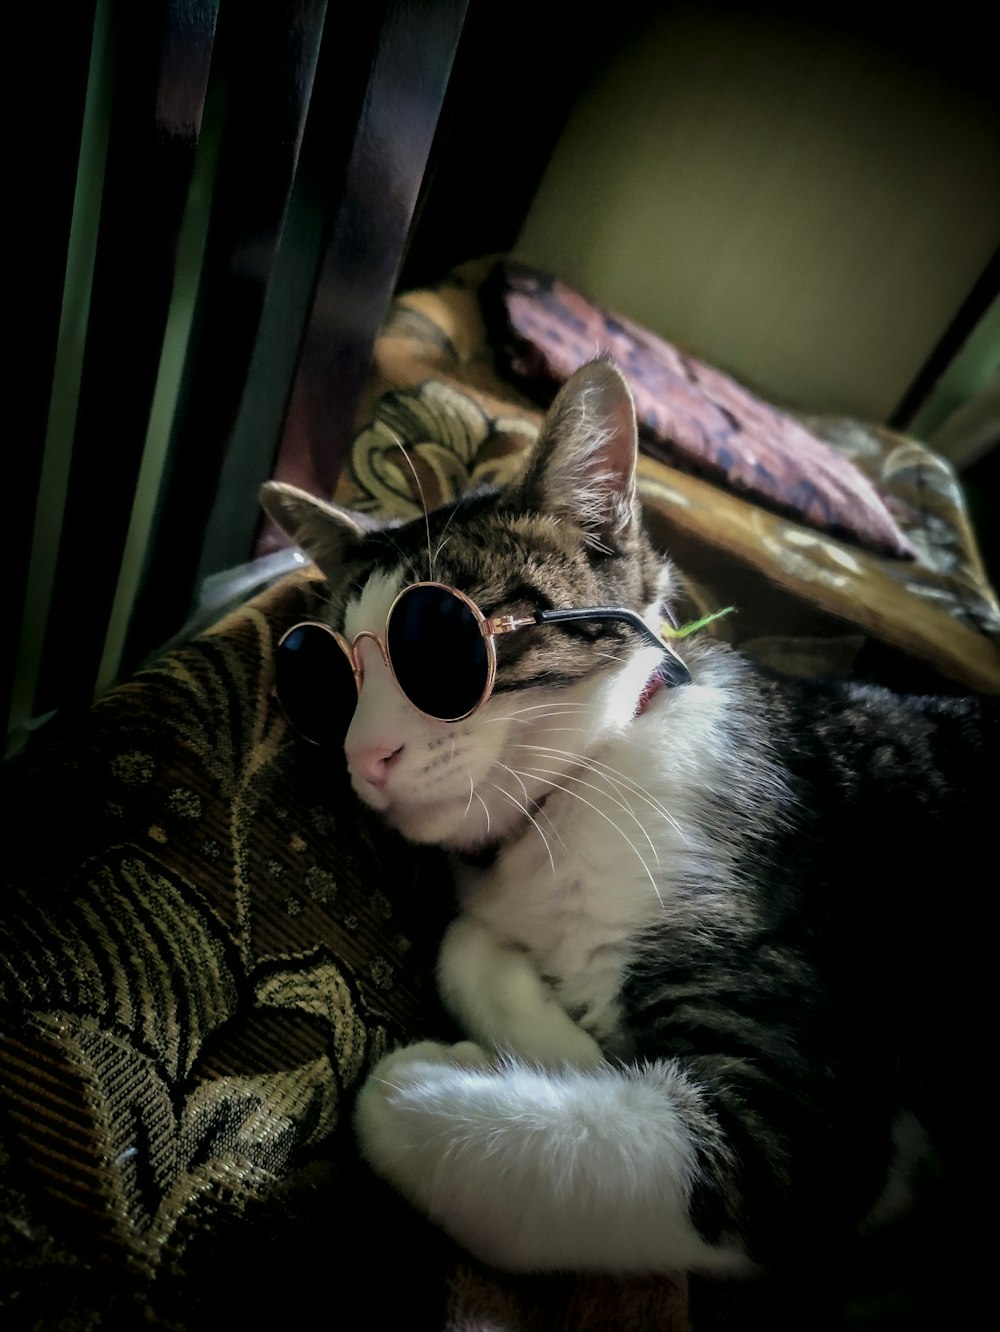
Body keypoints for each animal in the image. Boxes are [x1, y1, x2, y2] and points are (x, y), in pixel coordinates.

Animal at [259, 362, 1000, 1289]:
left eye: (441, 642)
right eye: (333, 680)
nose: (365, 754)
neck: (575, 798)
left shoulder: (808, 1118)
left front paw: (445, 1080)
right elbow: (464, 945)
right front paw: (568, 1041)